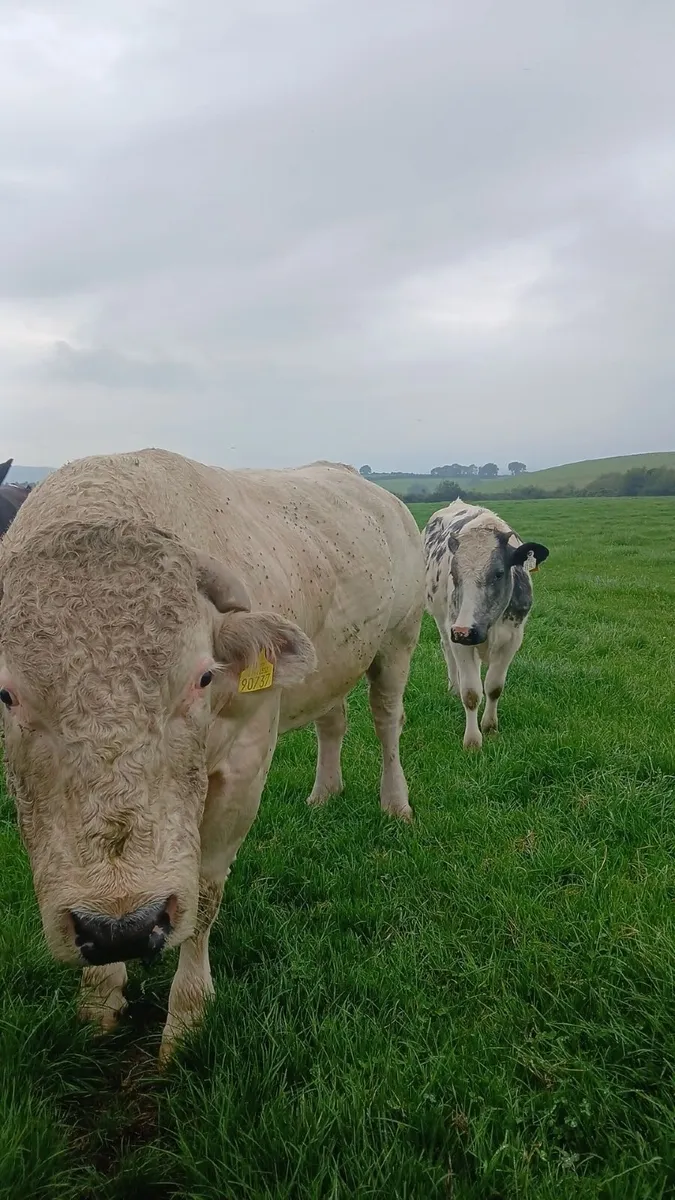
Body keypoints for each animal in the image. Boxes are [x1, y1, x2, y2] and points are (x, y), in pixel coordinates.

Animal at [0, 448, 424, 1061]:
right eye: (6, 695)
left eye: (203, 677)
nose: (122, 928)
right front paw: (99, 999)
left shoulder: (246, 764)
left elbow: (204, 890)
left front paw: (187, 1017)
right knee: (333, 721)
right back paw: (325, 794)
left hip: (398, 642)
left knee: (387, 721)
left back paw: (395, 803)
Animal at [423, 499, 549, 750]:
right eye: (454, 575)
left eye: (499, 573)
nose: (464, 631)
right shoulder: (458, 636)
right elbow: (471, 693)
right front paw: (472, 740)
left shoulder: (512, 639)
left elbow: (493, 687)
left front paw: (490, 727)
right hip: (443, 621)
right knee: (447, 650)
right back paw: (453, 687)